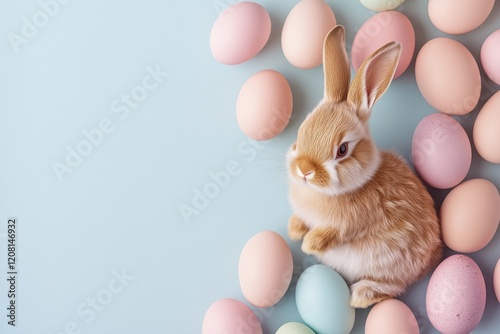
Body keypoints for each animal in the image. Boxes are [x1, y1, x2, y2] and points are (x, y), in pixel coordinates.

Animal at [288, 25, 444, 308]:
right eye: (301, 133)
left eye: (342, 150)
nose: (304, 170)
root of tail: (434, 255)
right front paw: (295, 231)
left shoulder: (349, 224)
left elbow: (333, 234)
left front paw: (308, 245)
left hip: (388, 264)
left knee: (393, 287)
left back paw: (361, 296)